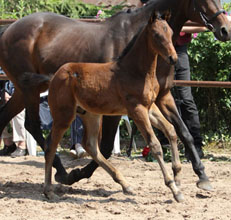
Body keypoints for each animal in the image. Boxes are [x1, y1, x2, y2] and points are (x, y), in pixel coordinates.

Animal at [44, 11, 182, 201]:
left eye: (171, 32)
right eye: (156, 35)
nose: (173, 58)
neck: (137, 71)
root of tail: (56, 75)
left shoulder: (149, 107)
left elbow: (171, 130)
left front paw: (177, 175)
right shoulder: (137, 109)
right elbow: (155, 145)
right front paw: (173, 188)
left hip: (90, 114)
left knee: (91, 146)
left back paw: (125, 184)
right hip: (63, 116)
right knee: (51, 146)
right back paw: (48, 190)